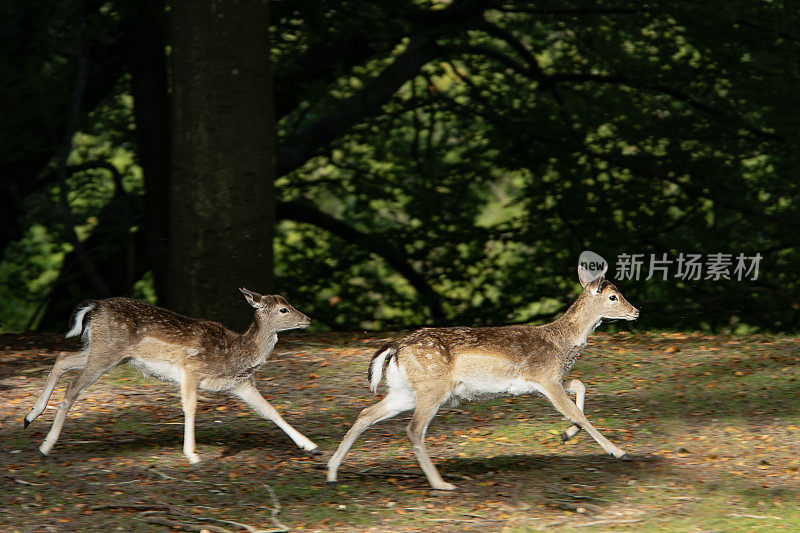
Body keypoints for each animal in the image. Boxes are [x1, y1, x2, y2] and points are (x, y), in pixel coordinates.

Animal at [22, 288, 316, 460]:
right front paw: (192, 455)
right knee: (73, 386)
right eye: (284, 309)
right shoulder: (191, 370)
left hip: (105, 351)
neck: (237, 353)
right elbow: (190, 407)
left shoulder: (240, 384)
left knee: (62, 358)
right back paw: (46, 445)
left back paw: (29, 417)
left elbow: (270, 410)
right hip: (107, 352)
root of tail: (94, 307)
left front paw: (310, 445)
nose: (308, 319)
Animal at [324, 264, 636, 488]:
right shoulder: (545, 377)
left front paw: (566, 434)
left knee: (366, 413)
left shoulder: (544, 383)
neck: (561, 343)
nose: (635, 311)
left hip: (405, 391)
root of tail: (395, 347)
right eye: (613, 296)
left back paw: (331, 472)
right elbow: (578, 411)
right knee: (413, 429)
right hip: (432, 388)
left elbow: (580, 387)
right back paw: (441, 484)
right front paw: (617, 451)